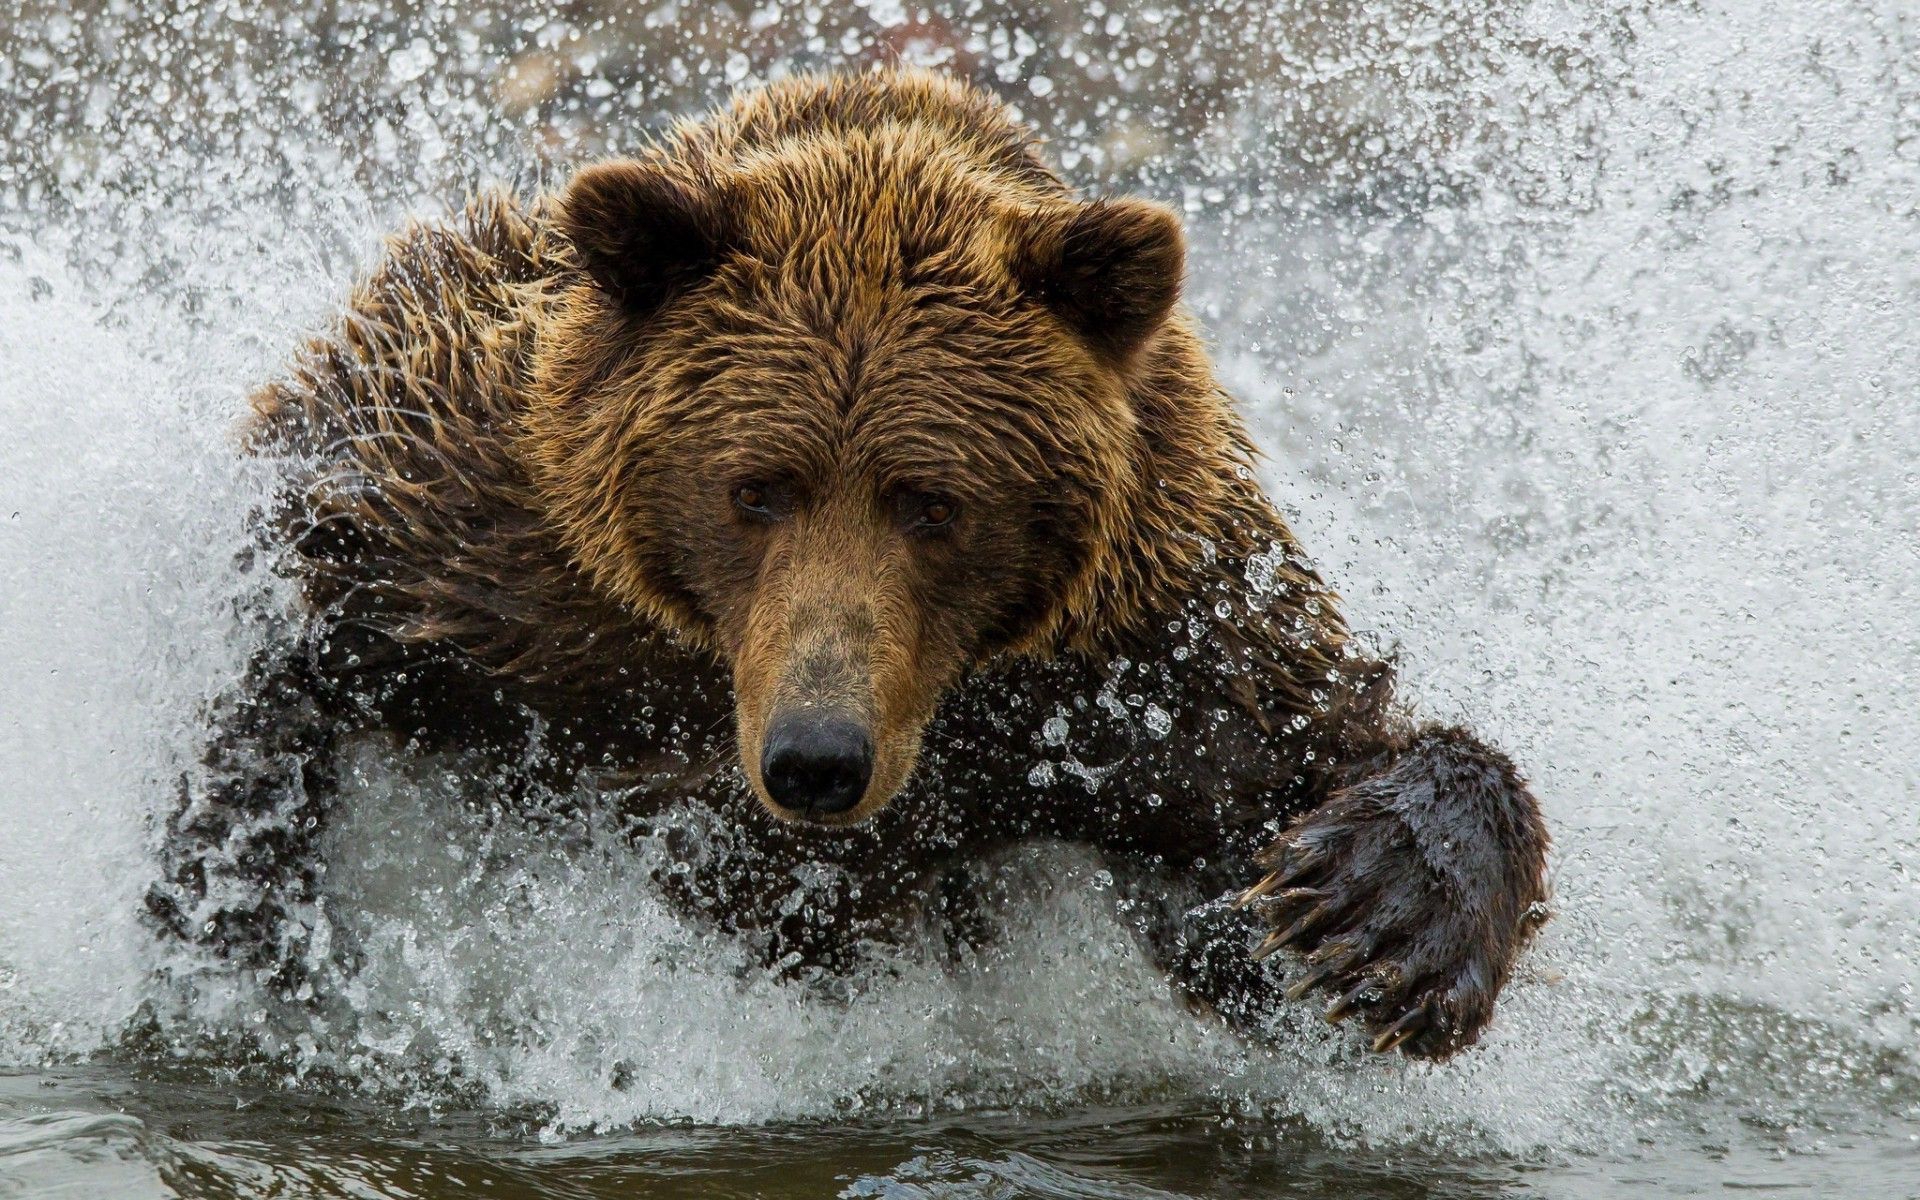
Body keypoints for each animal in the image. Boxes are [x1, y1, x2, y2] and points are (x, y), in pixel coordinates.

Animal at [157, 67, 1551, 1059]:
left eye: (933, 501)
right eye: (754, 488)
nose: (816, 759)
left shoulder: (1148, 657)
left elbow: (1288, 784)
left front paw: (1375, 915)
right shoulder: (478, 527)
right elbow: (293, 620)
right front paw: (238, 915)